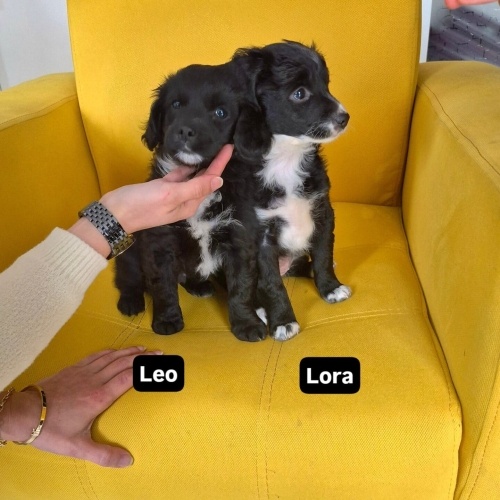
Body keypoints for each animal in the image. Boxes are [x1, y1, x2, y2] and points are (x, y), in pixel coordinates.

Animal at [231, 41, 352, 341]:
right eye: (300, 94)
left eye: (326, 84)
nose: (344, 118)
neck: (288, 158)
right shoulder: (260, 235)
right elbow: (273, 283)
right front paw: (283, 321)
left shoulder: (322, 212)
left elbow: (322, 255)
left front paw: (331, 287)